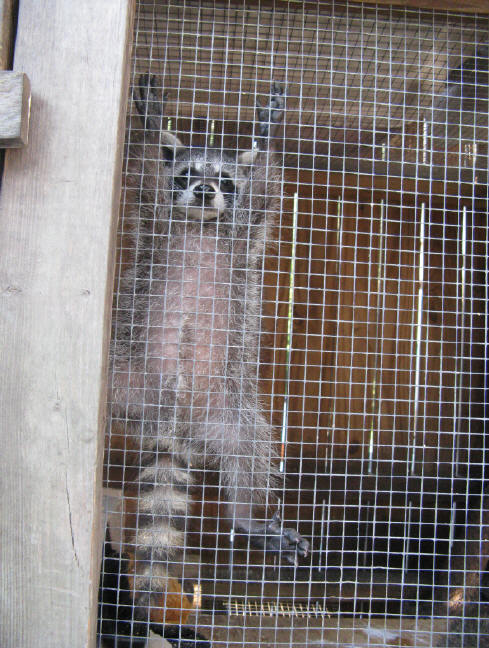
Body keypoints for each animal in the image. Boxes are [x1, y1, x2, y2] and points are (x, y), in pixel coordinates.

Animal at [103, 74, 306, 644]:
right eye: (189, 175)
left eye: (224, 181)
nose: (205, 190)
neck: (199, 224)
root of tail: (172, 422)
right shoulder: (155, 224)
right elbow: (144, 174)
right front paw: (152, 124)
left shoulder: (244, 235)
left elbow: (267, 188)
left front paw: (266, 133)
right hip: (125, 372)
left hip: (229, 407)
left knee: (249, 450)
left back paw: (244, 514)